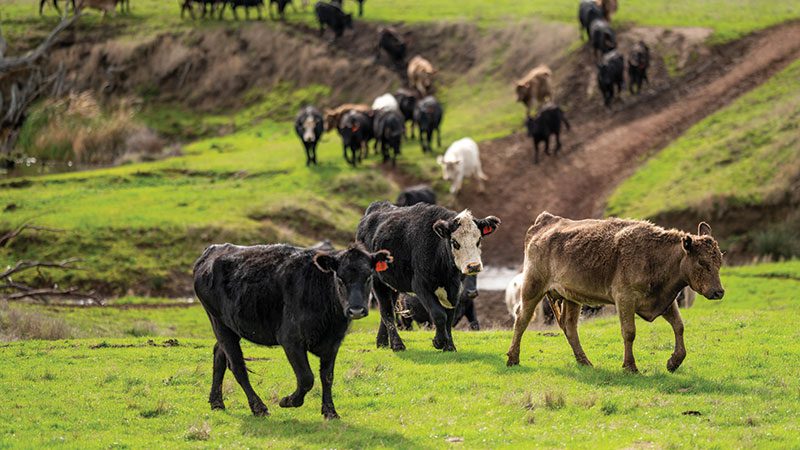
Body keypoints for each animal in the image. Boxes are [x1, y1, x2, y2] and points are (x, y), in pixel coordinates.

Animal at [195, 244, 394, 420]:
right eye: (339, 278)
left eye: (368, 276)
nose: (356, 310)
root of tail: (212, 250)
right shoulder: (291, 340)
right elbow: (306, 378)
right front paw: (288, 401)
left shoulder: (333, 342)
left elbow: (327, 376)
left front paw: (330, 412)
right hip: (218, 321)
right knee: (237, 366)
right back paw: (258, 408)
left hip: (230, 326)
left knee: (219, 355)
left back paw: (217, 403)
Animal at [358, 202, 500, 354]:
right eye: (454, 242)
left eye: (478, 240)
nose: (473, 266)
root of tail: (378, 206)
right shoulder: (420, 286)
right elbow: (439, 315)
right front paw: (439, 341)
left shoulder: (455, 289)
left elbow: (449, 317)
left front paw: (450, 346)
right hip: (377, 281)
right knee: (386, 311)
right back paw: (397, 345)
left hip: (392, 283)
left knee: (388, 309)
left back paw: (382, 342)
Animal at [506, 213, 724, 374]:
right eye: (702, 262)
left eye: (719, 261)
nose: (719, 292)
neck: (653, 256)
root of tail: (546, 220)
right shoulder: (625, 299)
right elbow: (629, 332)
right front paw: (630, 367)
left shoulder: (665, 300)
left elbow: (679, 326)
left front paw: (674, 361)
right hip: (533, 287)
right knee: (522, 319)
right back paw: (513, 358)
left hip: (571, 296)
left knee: (570, 327)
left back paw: (584, 362)